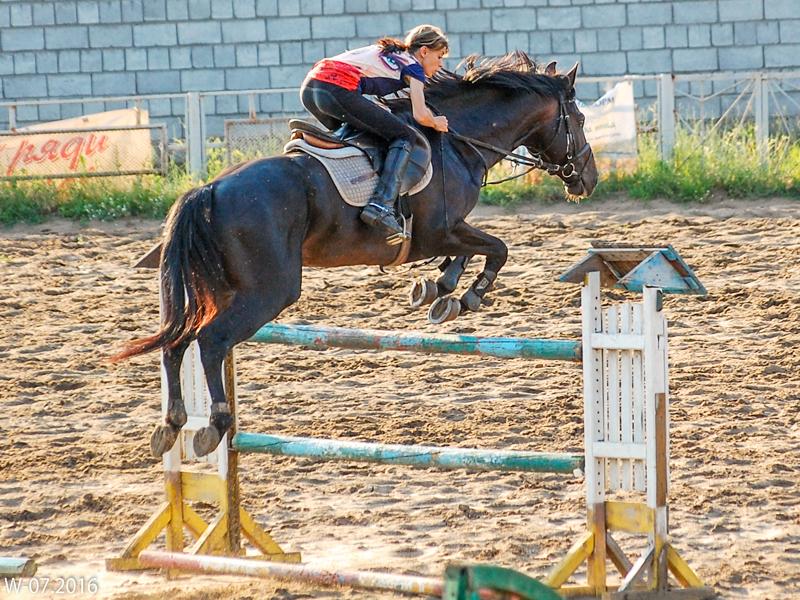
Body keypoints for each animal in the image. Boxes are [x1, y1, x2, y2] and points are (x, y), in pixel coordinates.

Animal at [115, 52, 598, 459]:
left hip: (214, 288)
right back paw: (213, 425)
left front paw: (437, 291)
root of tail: (209, 190)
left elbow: (468, 256)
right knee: (211, 340)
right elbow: (498, 248)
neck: (457, 141)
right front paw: (466, 297)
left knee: (176, 341)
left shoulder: (447, 233)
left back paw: (171, 425)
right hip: (270, 290)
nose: (588, 179)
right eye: (579, 117)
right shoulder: (438, 232)